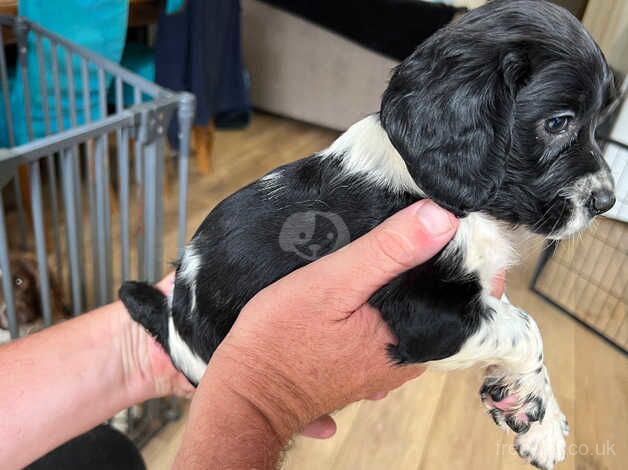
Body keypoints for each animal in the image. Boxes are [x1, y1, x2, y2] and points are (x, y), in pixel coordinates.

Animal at [120, 1, 616, 468]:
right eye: (558, 122)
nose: (607, 201)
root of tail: (171, 317)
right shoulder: (426, 314)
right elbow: (527, 328)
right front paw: (540, 416)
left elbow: (515, 317)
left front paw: (539, 419)